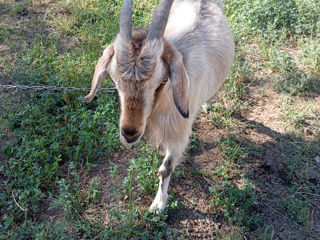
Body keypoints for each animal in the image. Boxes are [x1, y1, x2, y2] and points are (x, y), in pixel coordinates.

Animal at [84, 0, 235, 211]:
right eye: (114, 80)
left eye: (162, 81)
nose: (129, 133)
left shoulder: (180, 133)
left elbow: (166, 169)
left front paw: (159, 204)